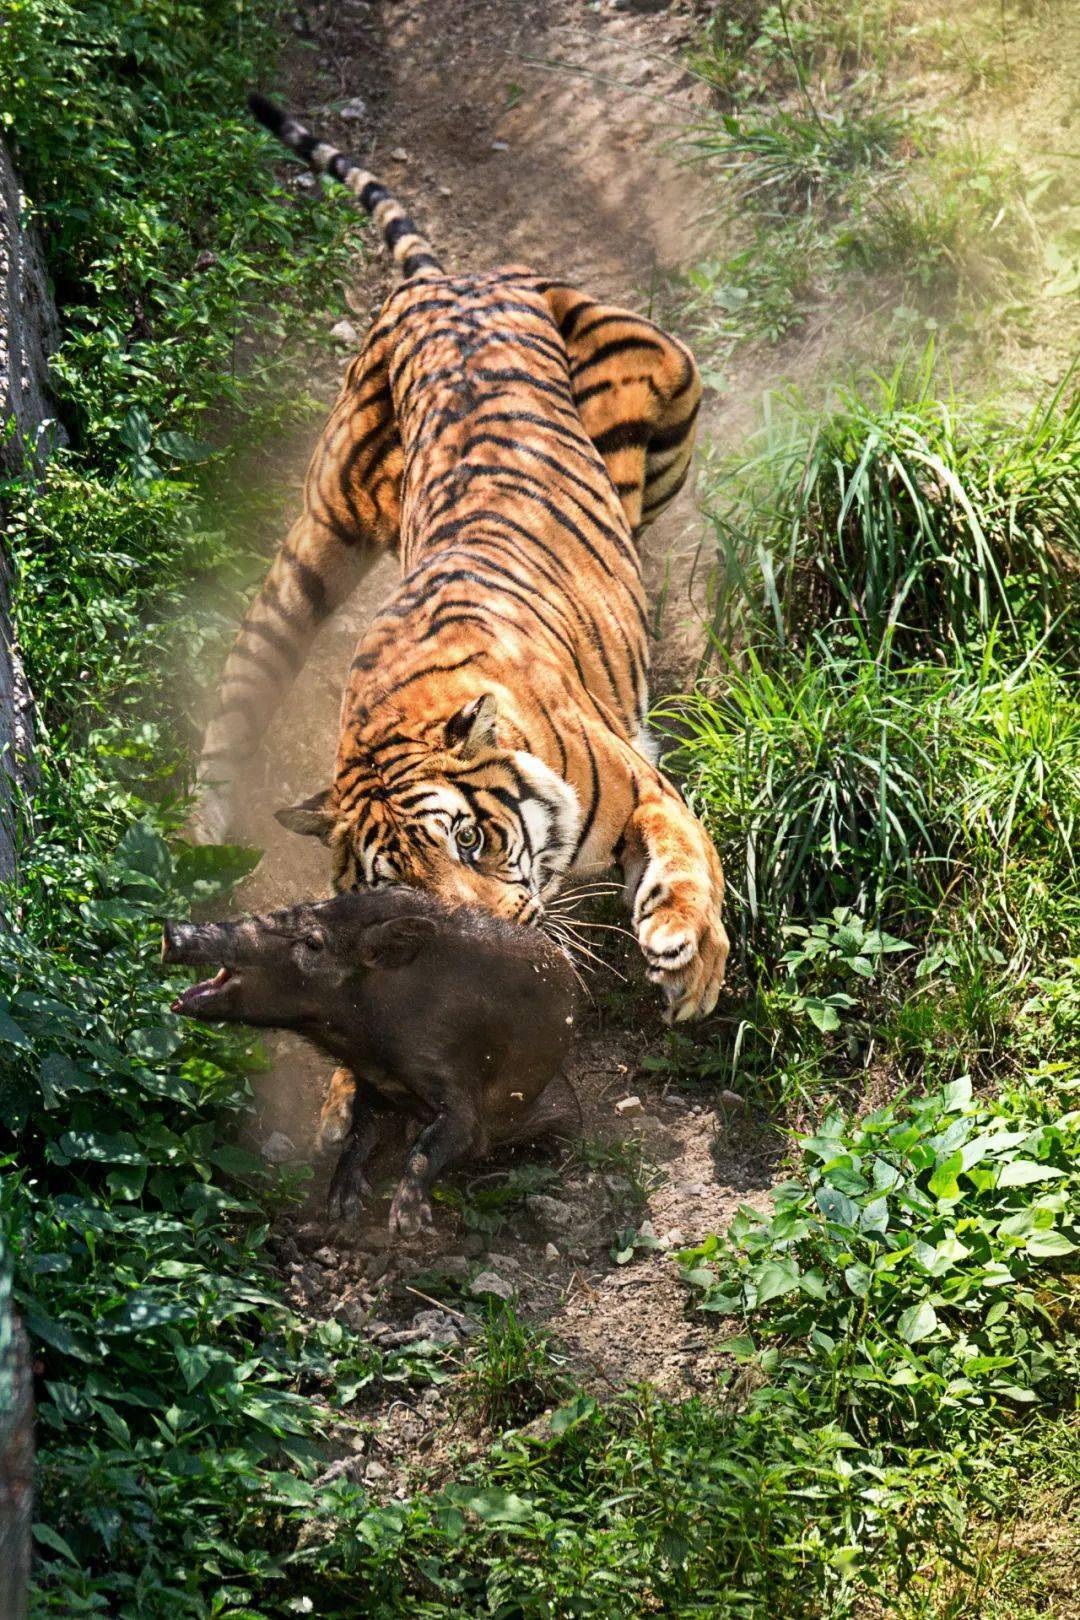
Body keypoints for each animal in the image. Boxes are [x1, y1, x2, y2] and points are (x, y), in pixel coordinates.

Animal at [195, 88, 731, 1017]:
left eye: (473, 837)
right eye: (402, 886)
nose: (486, 946)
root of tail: (442, 280)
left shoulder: (644, 789)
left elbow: (689, 857)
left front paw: (688, 958)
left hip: (665, 391)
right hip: (319, 536)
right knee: (243, 680)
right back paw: (205, 828)